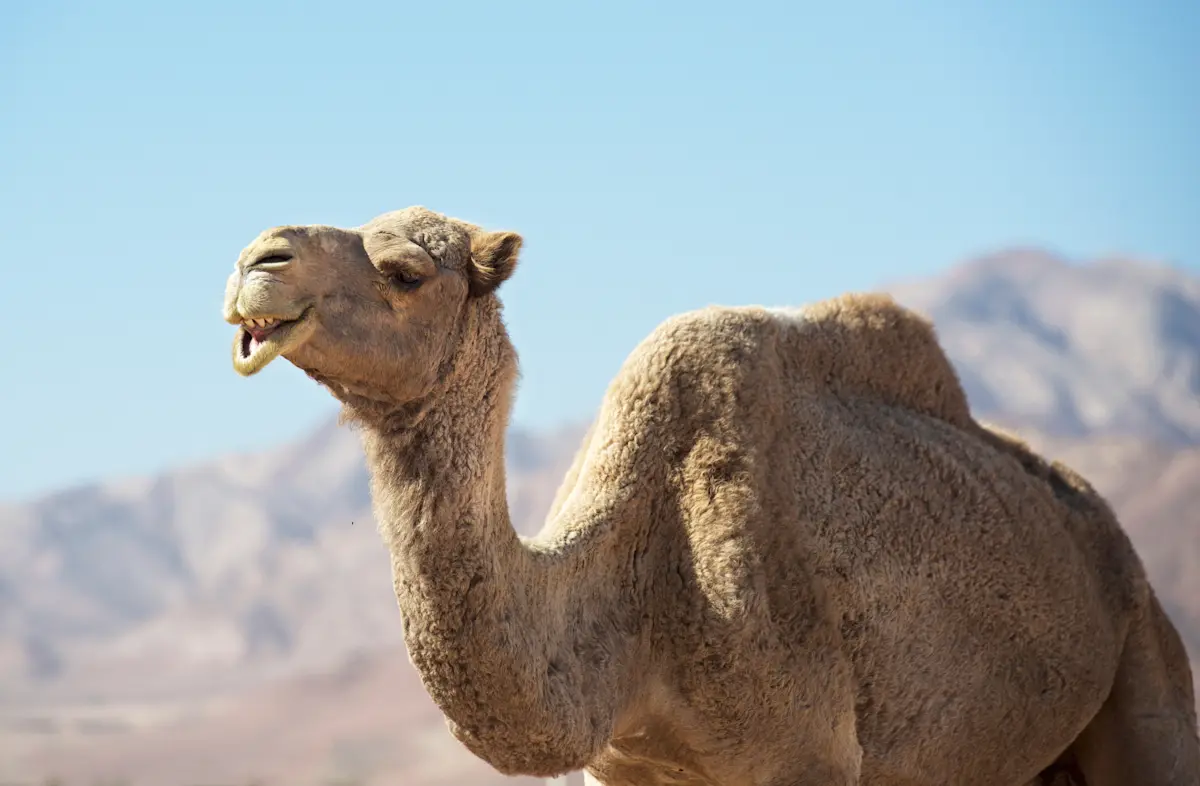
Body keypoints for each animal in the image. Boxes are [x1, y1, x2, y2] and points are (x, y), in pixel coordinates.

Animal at [221, 206, 1199, 786]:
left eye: (407, 272)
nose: (256, 259)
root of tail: (1104, 532)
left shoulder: (809, 756)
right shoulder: (628, 772)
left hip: (1143, 660)